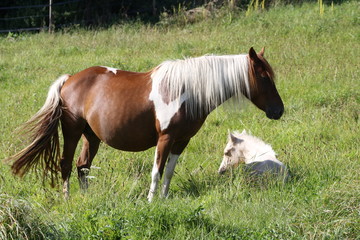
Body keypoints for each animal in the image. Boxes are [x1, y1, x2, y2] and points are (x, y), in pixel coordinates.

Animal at [9, 47, 284, 201]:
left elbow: (169, 172)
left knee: (82, 166)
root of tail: (69, 79)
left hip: (92, 136)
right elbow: (156, 171)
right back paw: (67, 200)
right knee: (66, 164)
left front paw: (164, 198)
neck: (186, 91)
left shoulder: (181, 141)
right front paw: (151, 201)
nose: (278, 111)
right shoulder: (165, 138)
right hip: (72, 131)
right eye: (263, 76)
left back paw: (86, 199)